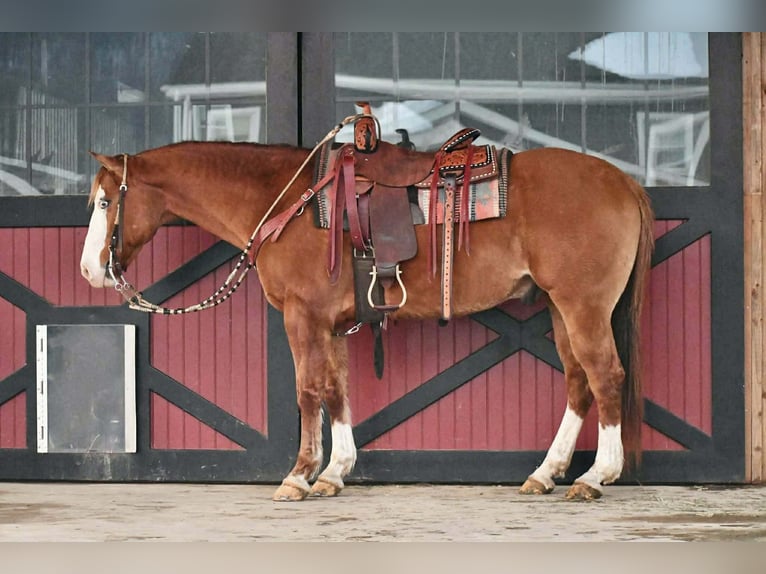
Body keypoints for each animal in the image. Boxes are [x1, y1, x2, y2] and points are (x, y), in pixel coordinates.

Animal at [79, 132, 654, 502]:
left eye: (106, 201)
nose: (89, 270)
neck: (286, 200)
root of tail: (623, 182)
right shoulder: (330, 324)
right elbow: (337, 390)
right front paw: (334, 473)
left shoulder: (303, 318)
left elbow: (308, 391)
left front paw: (299, 476)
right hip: (559, 308)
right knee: (579, 382)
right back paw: (546, 473)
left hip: (583, 307)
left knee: (605, 377)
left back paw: (596, 476)